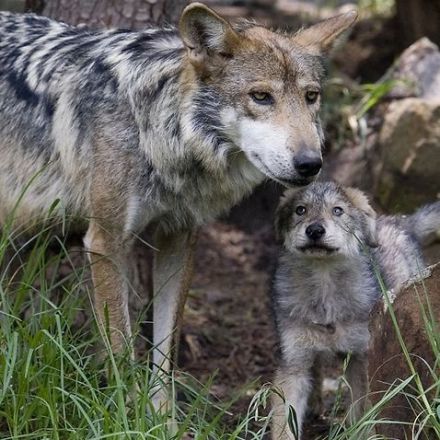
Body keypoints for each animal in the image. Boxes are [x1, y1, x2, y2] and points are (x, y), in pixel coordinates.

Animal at [0, 2, 358, 402]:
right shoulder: (106, 242)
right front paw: (129, 412)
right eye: (262, 97)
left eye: (311, 97)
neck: (160, 133)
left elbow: (165, 353)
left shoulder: (179, 238)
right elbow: (121, 352)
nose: (311, 163)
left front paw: (161, 415)